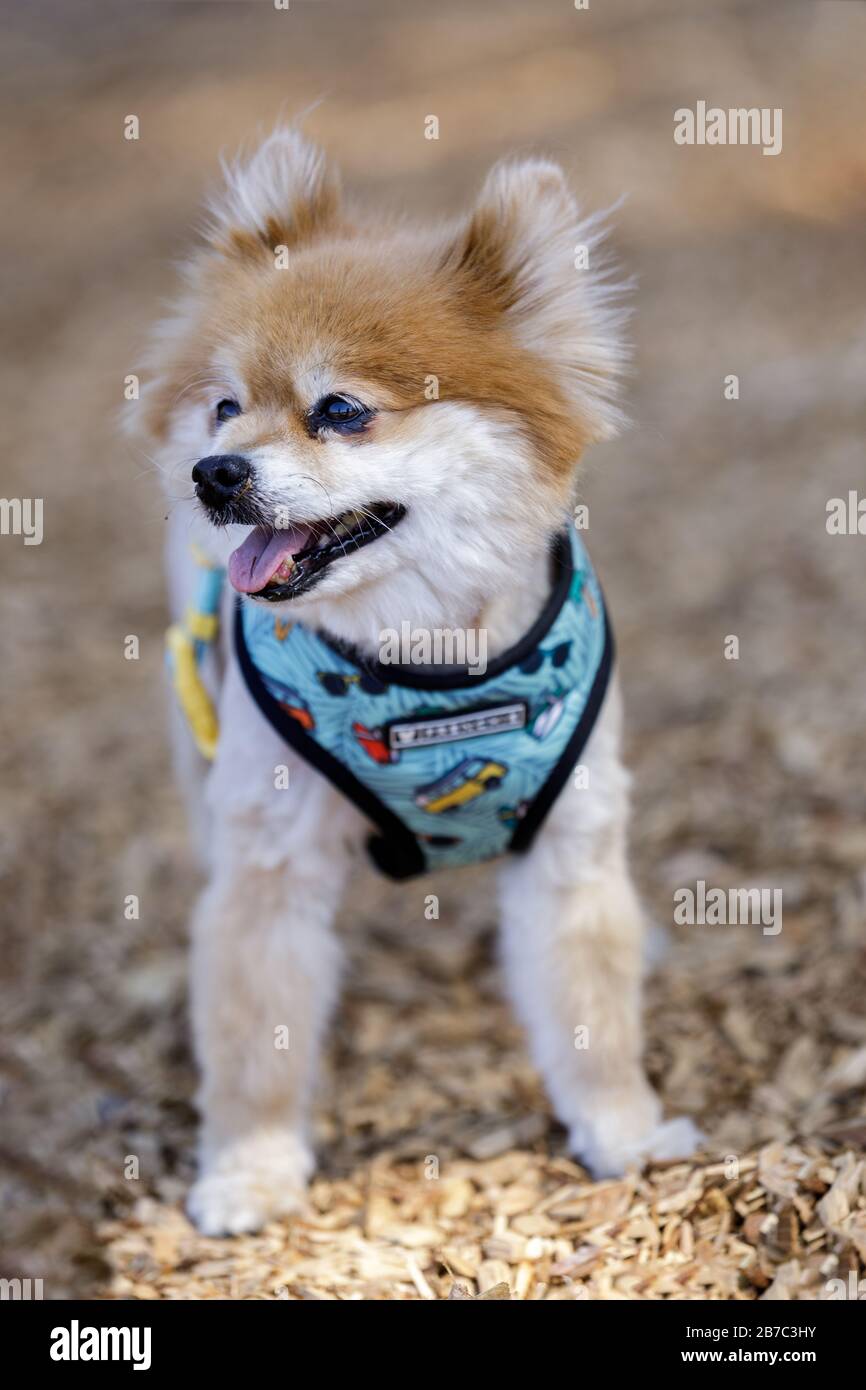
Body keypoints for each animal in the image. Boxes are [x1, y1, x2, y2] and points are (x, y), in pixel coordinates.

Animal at [136, 130, 706, 1234]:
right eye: (224, 406)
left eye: (340, 411)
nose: (215, 473)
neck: (427, 666)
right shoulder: (269, 866)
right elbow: (253, 1039)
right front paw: (248, 1171)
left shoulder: (569, 848)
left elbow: (593, 1015)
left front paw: (623, 1132)